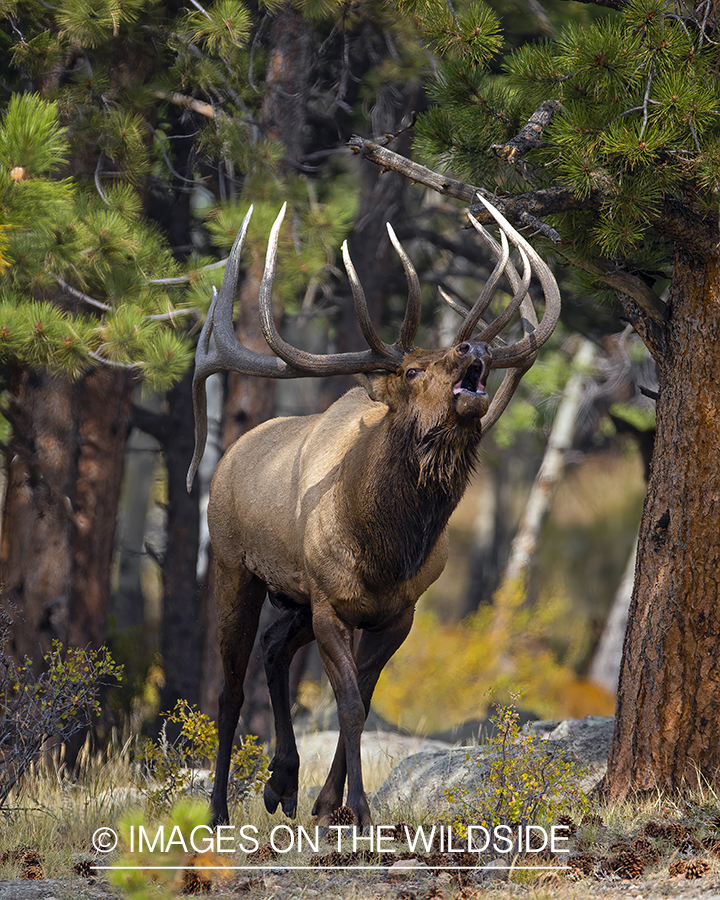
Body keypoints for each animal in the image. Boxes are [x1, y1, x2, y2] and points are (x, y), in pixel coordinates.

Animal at [188, 199, 560, 828]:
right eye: (411, 370)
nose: (474, 349)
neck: (385, 549)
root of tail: (231, 457)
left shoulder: (396, 612)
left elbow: (361, 699)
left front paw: (327, 804)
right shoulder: (331, 604)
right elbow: (350, 707)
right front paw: (356, 810)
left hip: (294, 596)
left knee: (273, 649)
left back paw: (281, 782)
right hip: (237, 565)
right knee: (229, 687)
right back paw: (217, 811)